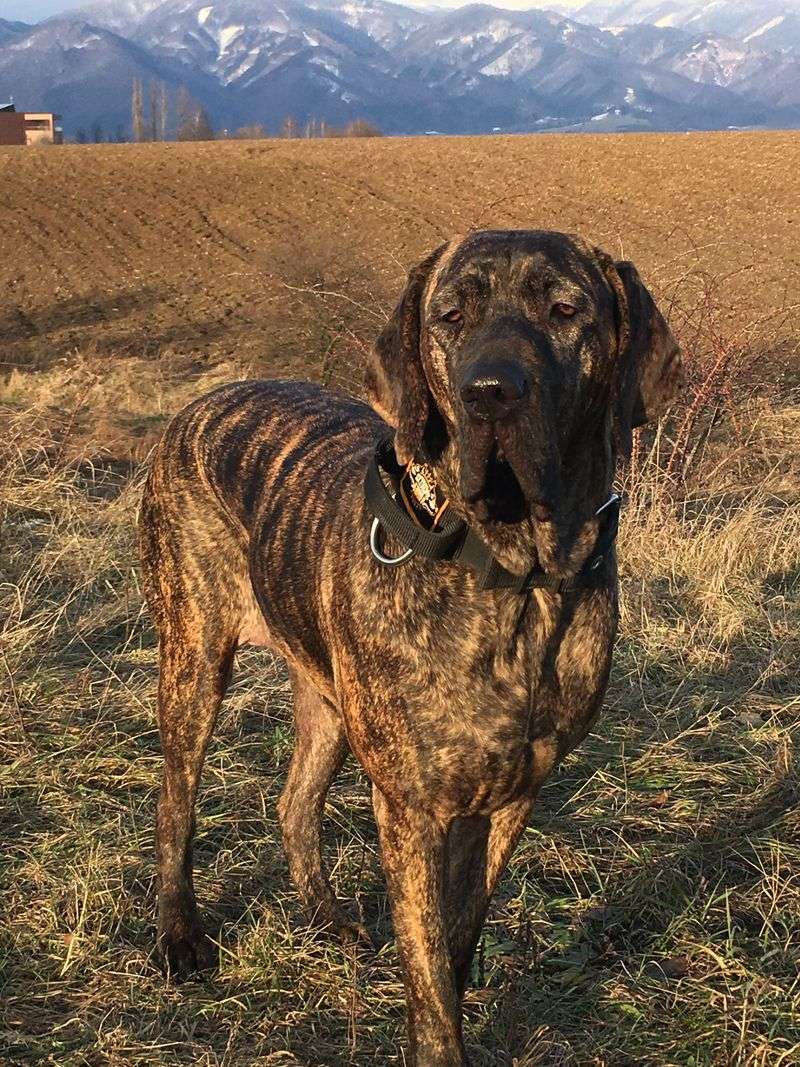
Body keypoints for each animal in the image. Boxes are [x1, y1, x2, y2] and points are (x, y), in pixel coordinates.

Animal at [139, 229, 682, 1062]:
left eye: (565, 310)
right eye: (450, 317)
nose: (490, 391)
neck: (517, 575)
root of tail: (195, 407)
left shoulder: (512, 793)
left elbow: (456, 933)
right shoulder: (413, 805)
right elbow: (425, 958)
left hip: (330, 699)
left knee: (294, 802)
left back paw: (329, 920)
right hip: (194, 658)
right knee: (176, 801)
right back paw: (179, 936)